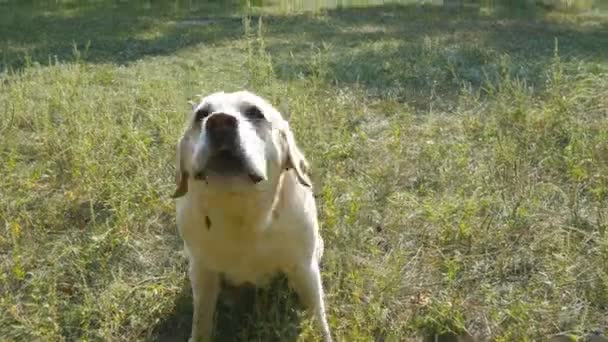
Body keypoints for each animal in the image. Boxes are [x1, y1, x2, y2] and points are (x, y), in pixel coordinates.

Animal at [171, 89, 332, 340]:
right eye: (202, 114)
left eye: (255, 113)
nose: (219, 122)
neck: (239, 210)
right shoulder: (202, 271)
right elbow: (201, 320)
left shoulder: (304, 268)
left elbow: (319, 316)